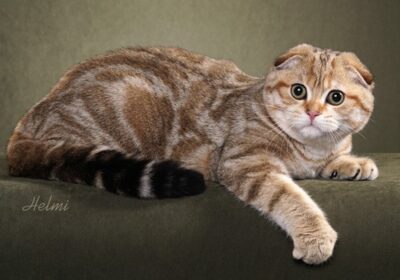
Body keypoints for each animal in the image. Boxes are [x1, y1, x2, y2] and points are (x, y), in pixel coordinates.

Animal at [7, 43, 380, 264]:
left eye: (335, 97)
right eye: (298, 91)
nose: (312, 112)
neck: (309, 149)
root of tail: (30, 119)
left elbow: (334, 159)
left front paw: (352, 163)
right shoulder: (246, 163)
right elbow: (290, 197)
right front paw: (314, 235)